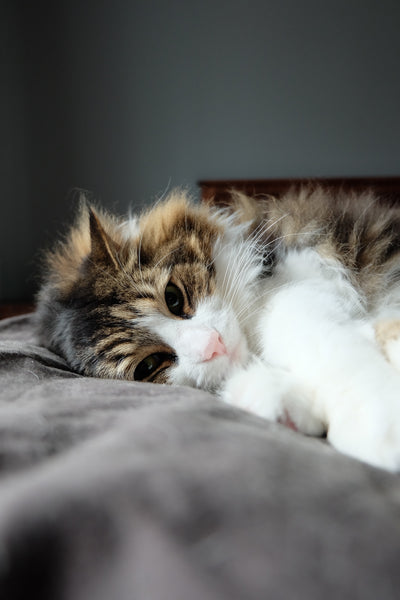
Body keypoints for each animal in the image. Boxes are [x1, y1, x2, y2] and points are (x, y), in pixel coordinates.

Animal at [35, 185, 400, 472]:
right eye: (149, 366)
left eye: (173, 298)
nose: (213, 345)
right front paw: (276, 403)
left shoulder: (302, 280)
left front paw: (376, 425)